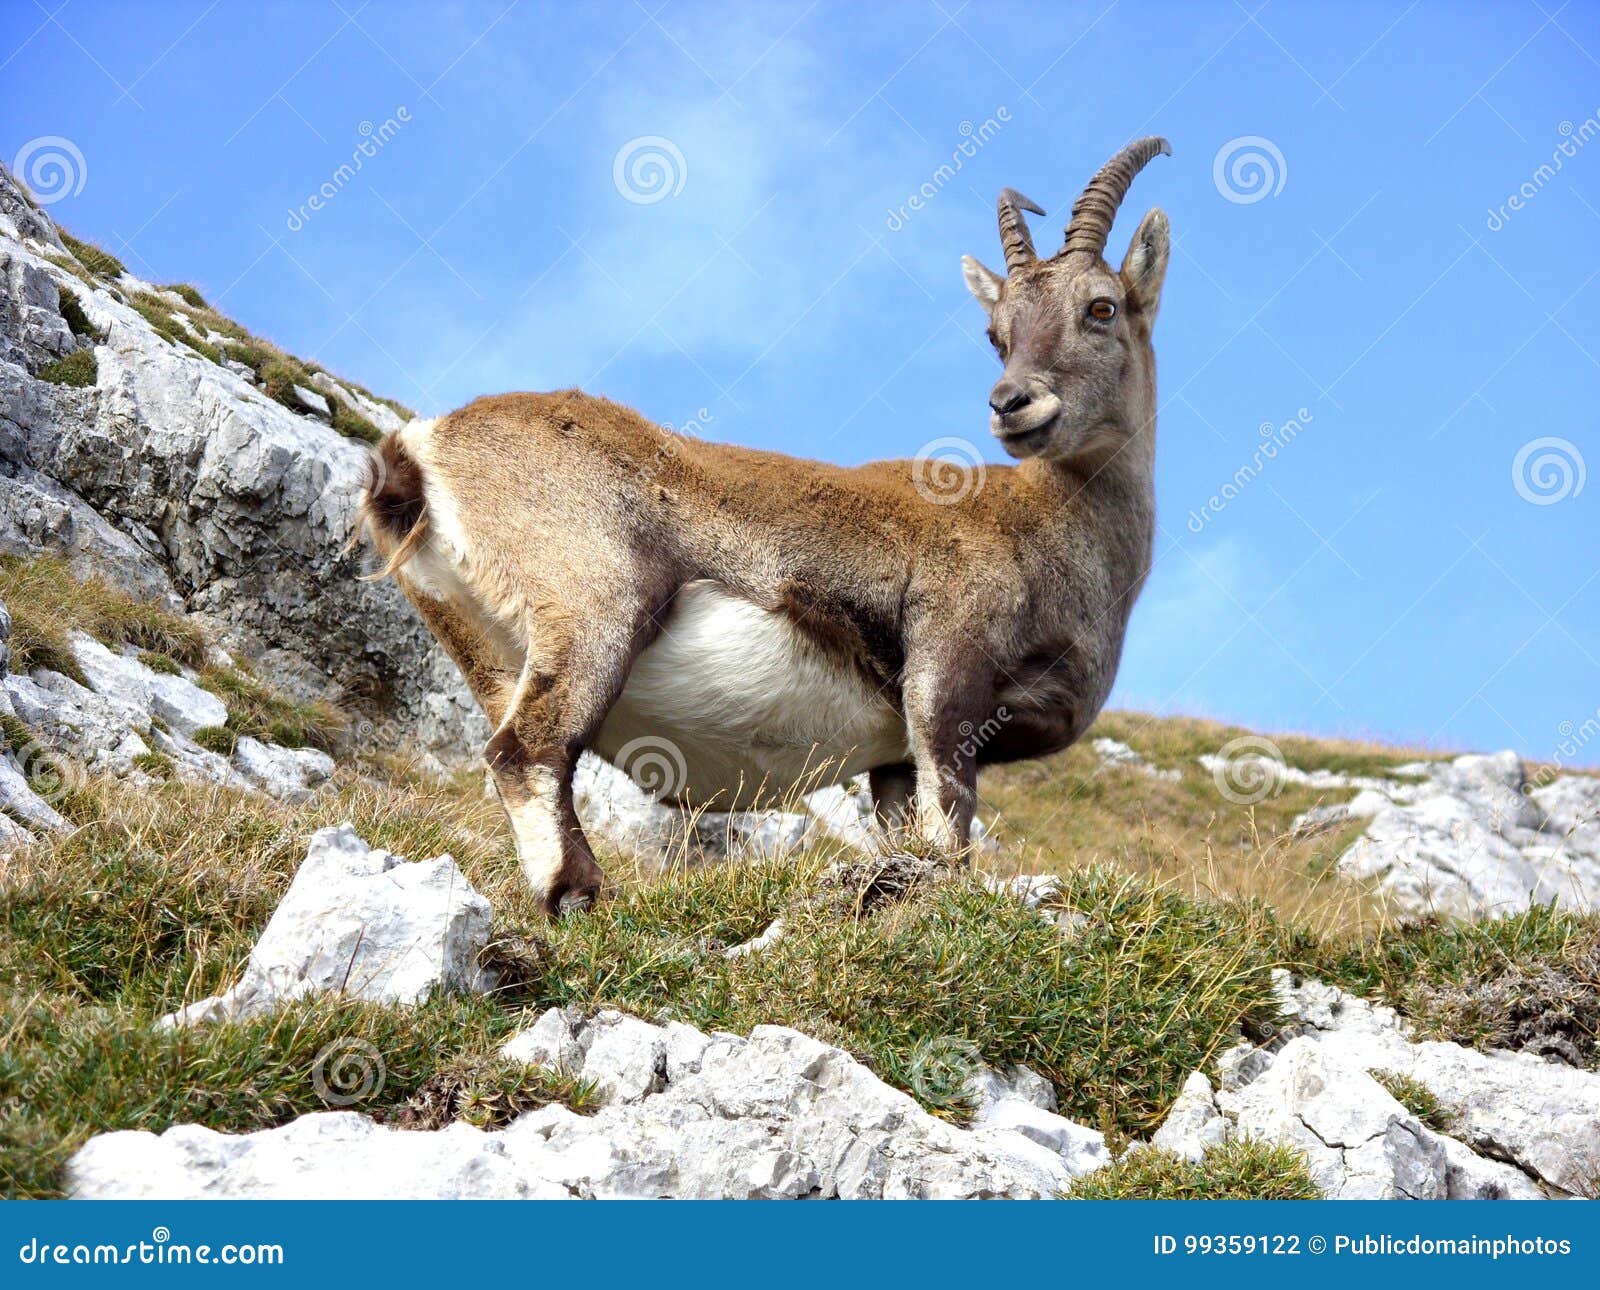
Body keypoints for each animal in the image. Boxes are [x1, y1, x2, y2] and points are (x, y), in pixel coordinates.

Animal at [360, 138, 1171, 916]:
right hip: (596, 605)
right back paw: (584, 896)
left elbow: (909, 831)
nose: (1012, 404)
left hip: (486, 648)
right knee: (527, 750)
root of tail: (423, 446)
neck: (1050, 526)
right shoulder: (946, 673)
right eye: (996, 332)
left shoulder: (893, 758)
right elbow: (950, 825)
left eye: (1101, 308)